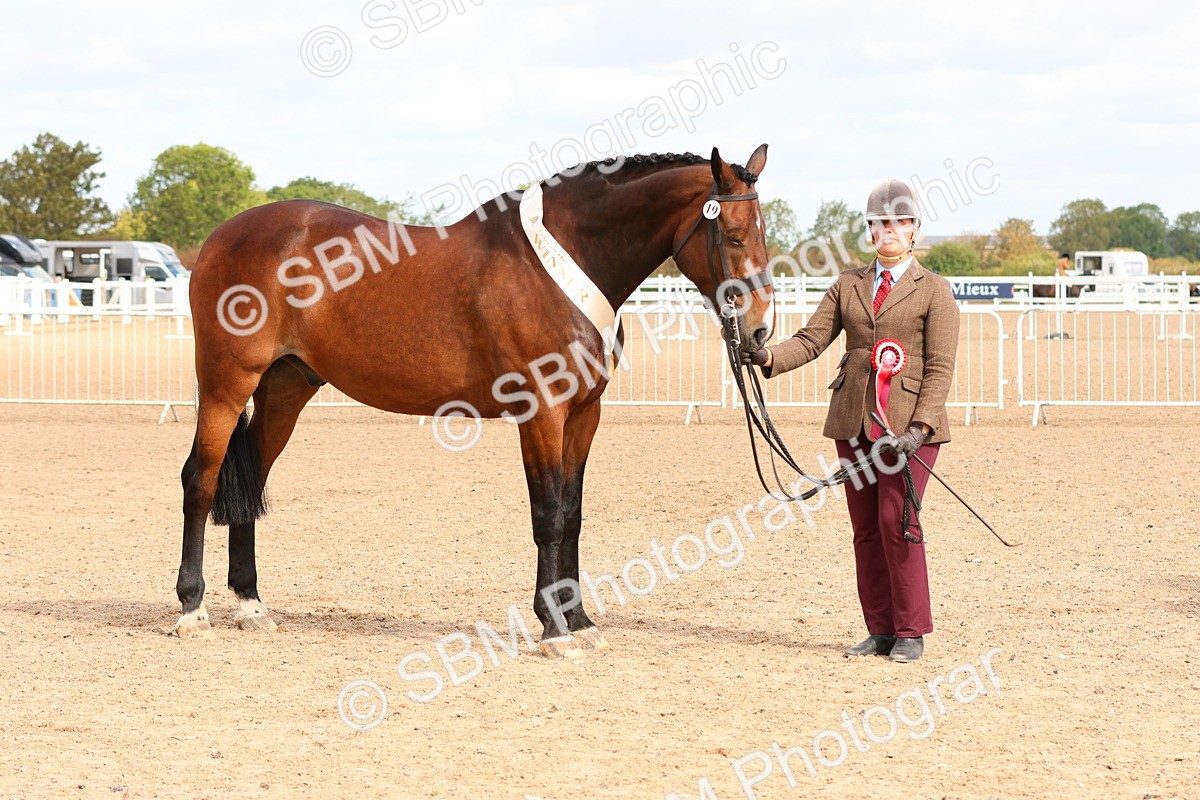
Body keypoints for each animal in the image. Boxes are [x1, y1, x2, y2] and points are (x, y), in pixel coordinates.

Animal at [176, 145, 773, 658]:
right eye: (734, 237)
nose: (761, 331)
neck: (563, 263)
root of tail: (219, 238)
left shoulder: (585, 414)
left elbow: (574, 514)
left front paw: (580, 621)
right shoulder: (542, 412)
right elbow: (548, 516)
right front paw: (553, 629)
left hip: (285, 389)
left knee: (251, 479)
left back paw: (251, 606)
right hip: (227, 384)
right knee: (201, 481)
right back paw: (191, 609)